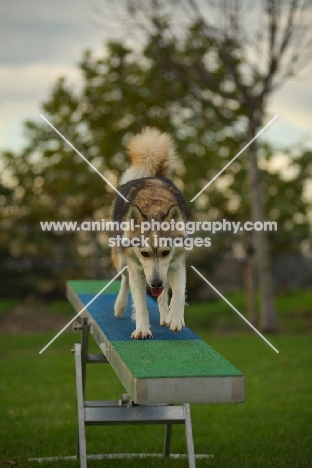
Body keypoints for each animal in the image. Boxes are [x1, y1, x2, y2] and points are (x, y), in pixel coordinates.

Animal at [112, 127, 190, 340]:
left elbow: (178, 293)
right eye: (144, 253)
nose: (154, 283)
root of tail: (153, 174)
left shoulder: (177, 263)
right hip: (122, 260)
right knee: (124, 278)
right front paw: (142, 329)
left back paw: (165, 315)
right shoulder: (137, 270)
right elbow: (140, 304)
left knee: (163, 294)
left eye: (166, 252)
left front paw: (175, 318)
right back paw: (119, 306)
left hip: (165, 271)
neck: (155, 207)